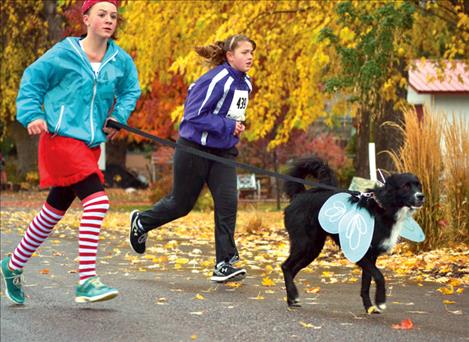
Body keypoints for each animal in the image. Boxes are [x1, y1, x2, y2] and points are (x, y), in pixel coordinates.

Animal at [282, 158, 424, 312]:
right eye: (405, 186)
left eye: (418, 185)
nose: (421, 196)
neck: (382, 207)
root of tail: (299, 195)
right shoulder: (360, 254)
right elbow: (379, 276)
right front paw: (380, 300)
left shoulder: (371, 256)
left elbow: (366, 283)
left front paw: (369, 308)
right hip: (303, 244)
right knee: (285, 267)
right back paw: (293, 295)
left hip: (313, 248)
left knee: (292, 270)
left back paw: (292, 299)